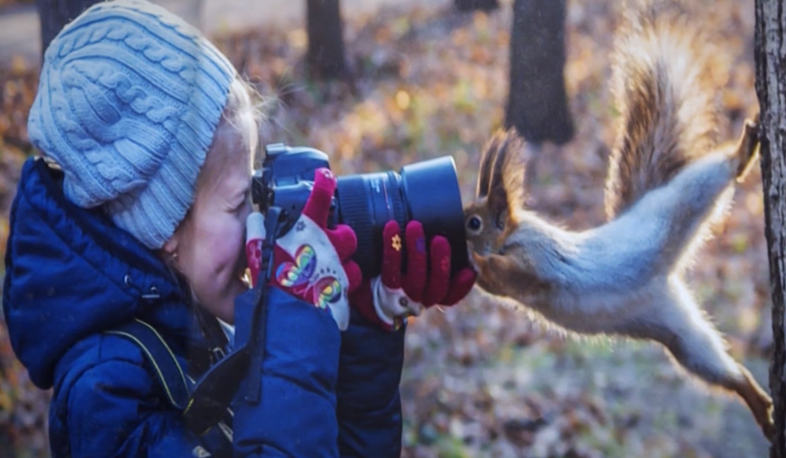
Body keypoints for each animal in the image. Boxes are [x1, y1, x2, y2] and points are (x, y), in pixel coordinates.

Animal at [462, 0, 768, 440]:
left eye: (474, 222)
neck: (511, 237)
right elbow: (500, 287)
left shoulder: (536, 259)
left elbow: (514, 278)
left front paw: (477, 260)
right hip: (681, 337)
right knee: (724, 370)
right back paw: (760, 404)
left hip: (677, 204)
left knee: (712, 177)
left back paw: (742, 151)